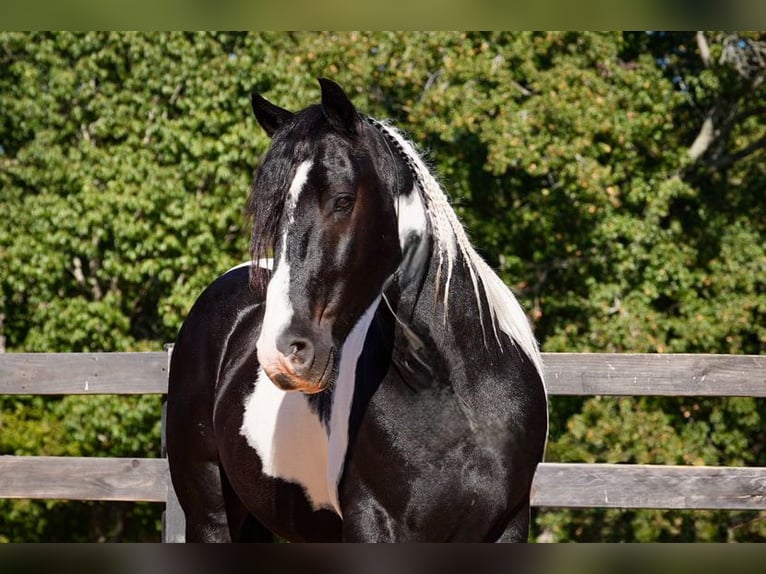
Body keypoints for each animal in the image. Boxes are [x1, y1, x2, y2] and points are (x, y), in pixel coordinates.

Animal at [166, 78, 548, 542]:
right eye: (274, 213)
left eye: (343, 200)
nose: (282, 353)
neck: (457, 396)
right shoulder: (371, 522)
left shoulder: (510, 523)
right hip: (210, 516)